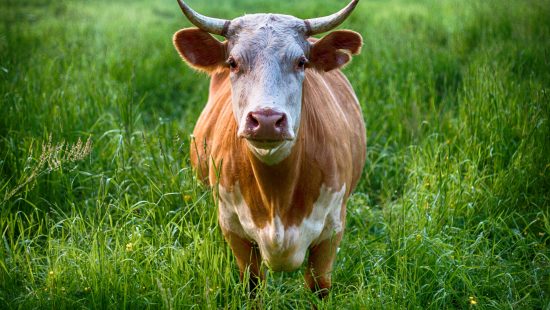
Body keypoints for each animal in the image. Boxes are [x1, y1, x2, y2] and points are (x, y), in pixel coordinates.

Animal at [175, 0, 368, 298]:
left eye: (301, 62)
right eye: (233, 63)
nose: (266, 120)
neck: (277, 196)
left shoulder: (332, 232)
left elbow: (319, 287)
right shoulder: (233, 229)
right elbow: (253, 285)